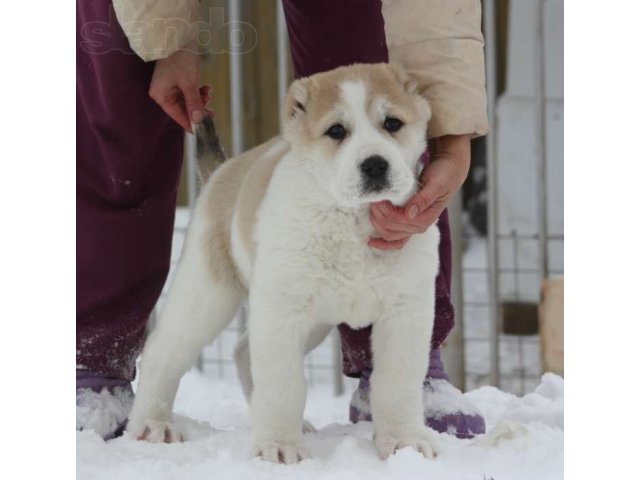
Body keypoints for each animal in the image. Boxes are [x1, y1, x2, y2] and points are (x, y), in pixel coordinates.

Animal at [128, 62, 442, 464]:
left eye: (392, 123)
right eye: (336, 131)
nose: (375, 165)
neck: (352, 222)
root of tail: (224, 171)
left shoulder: (406, 312)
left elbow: (397, 381)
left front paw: (404, 441)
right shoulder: (282, 312)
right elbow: (283, 383)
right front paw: (278, 447)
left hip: (310, 321)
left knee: (243, 351)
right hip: (207, 296)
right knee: (162, 353)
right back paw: (153, 424)